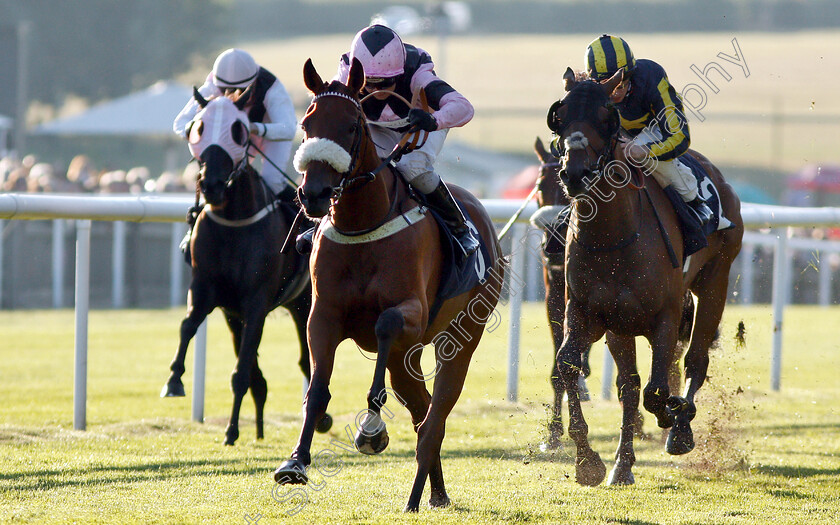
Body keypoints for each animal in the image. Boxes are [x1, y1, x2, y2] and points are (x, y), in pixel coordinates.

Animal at [159, 88, 330, 444]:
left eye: (238, 130)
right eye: (198, 127)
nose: (210, 184)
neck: (233, 222)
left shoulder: (255, 303)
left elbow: (241, 373)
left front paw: (231, 429)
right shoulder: (207, 291)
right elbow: (187, 326)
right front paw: (174, 380)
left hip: (304, 303)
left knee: (306, 362)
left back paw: (318, 418)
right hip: (235, 314)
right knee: (261, 372)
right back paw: (261, 427)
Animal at [272, 58, 502, 512]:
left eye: (351, 126)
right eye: (307, 123)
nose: (314, 193)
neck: (363, 223)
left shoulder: (410, 313)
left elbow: (384, 324)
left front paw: (371, 429)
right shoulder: (323, 316)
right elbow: (317, 389)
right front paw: (295, 463)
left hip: (460, 340)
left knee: (434, 420)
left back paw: (416, 497)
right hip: (404, 359)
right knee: (422, 412)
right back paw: (436, 494)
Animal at [552, 67, 740, 486]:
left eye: (606, 116)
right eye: (561, 114)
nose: (574, 173)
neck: (612, 236)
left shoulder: (665, 316)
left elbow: (658, 389)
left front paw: (673, 415)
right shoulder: (589, 313)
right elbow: (570, 365)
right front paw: (588, 461)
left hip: (715, 282)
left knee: (695, 360)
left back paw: (681, 428)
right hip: (622, 326)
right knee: (629, 386)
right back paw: (622, 466)